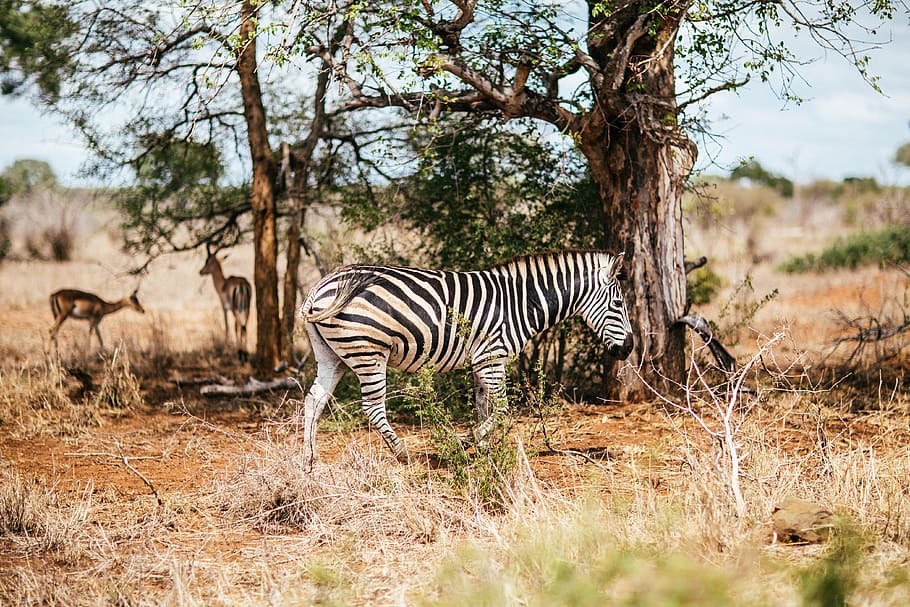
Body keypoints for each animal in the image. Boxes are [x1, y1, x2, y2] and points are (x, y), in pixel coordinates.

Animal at [297, 249, 634, 466]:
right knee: (372, 407)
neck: (521, 302)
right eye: (618, 304)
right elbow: (502, 410)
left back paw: (309, 460)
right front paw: (466, 442)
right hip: (368, 351)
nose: (629, 348)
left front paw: (484, 452)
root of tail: (320, 286)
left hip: (333, 356)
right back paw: (403, 453)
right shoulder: (492, 358)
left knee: (314, 400)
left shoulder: (482, 362)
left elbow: (484, 408)